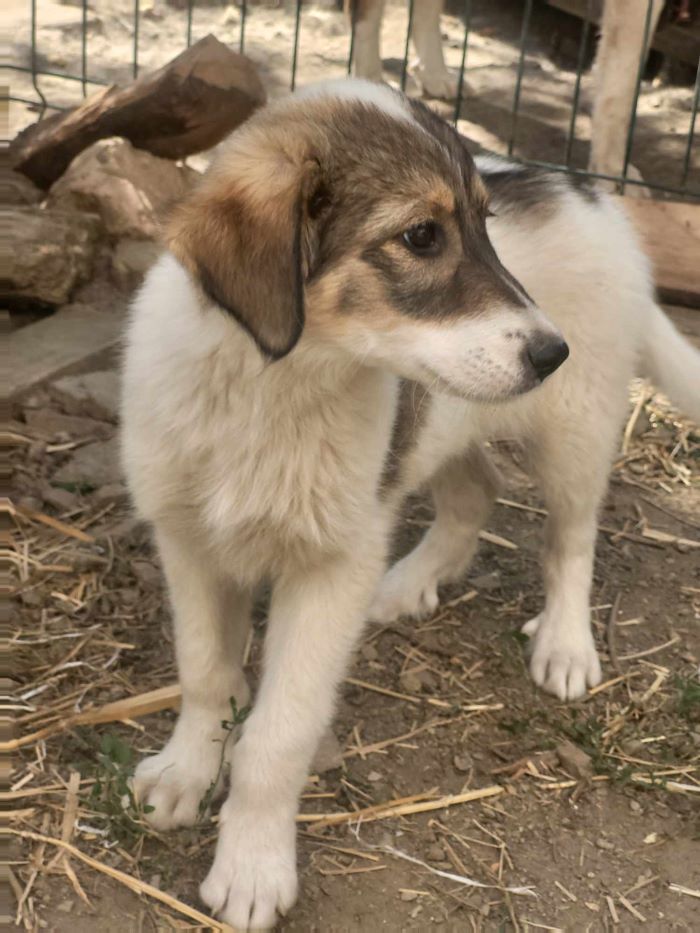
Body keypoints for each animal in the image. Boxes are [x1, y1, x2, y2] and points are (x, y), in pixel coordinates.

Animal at [121, 80, 700, 924]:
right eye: (422, 235)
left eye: (485, 225)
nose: (551, 352)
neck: (273, 384)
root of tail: (591, 195)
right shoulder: (187, 538)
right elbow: (205, 673)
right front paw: (184, 772)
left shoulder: (332, 565)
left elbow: (279, 733)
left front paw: (253, 865)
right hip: (446, 425)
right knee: (476, 492)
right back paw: (408, 585)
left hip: (576, 430)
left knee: (571, 538)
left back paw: (564, 644)